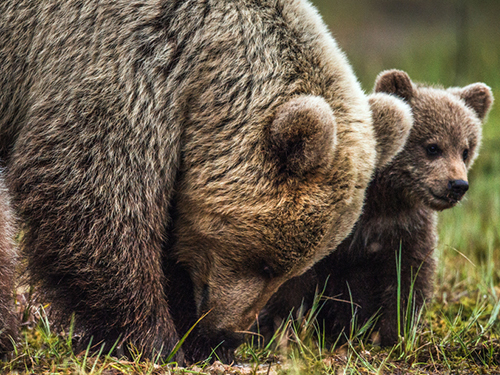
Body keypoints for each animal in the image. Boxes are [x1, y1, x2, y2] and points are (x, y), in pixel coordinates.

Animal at [0, 0, 408, 362]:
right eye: (266, 264)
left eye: (294, 270)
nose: (228, 334)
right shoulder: (121, 62)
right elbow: (90, 194)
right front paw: (155, 341)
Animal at [260, 70, 494, 346]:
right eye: (433, 147)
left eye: (465, 150)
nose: (457, 184)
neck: (384, 200)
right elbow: (294, 283)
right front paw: (277, 332)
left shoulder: (406, 229)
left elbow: (408, 280)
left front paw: (394, 335)